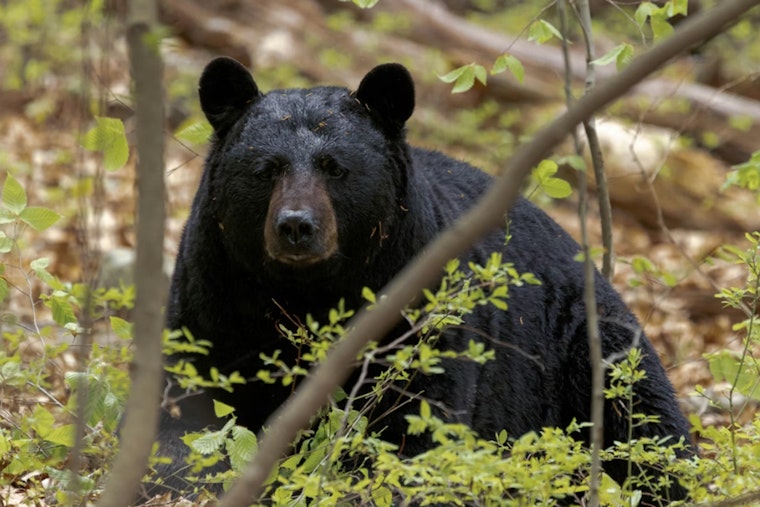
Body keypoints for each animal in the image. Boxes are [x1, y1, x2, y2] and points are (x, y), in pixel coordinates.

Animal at [153, 56, 692, 502]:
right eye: (266, 169)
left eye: (335, 168)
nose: (296, 226)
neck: (307, 292)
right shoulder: (214, 296)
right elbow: (186, 410)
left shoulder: (417, 308)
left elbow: (416, 425)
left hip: (585, 345)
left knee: (646, 423)